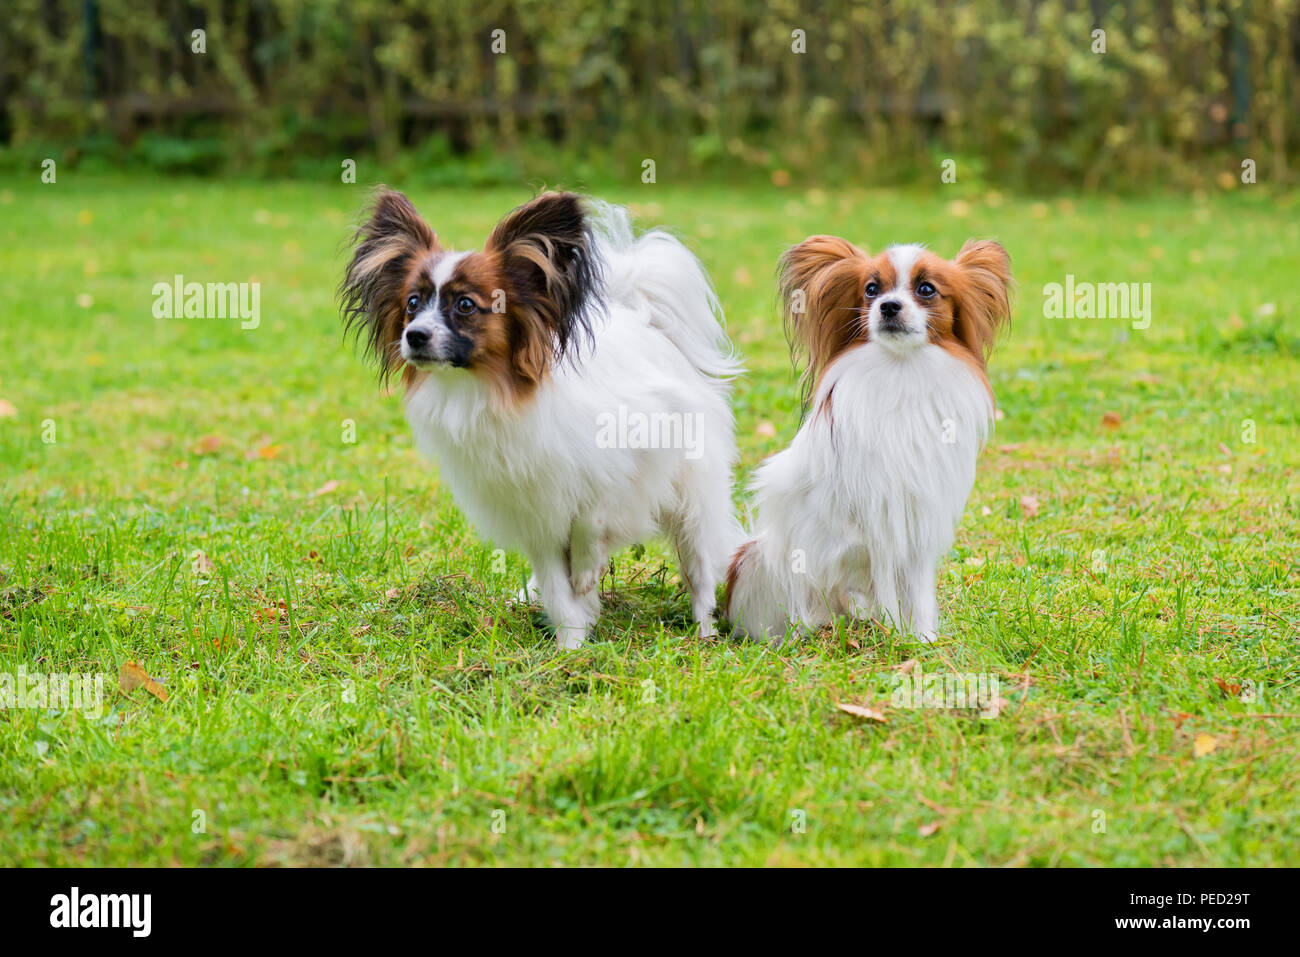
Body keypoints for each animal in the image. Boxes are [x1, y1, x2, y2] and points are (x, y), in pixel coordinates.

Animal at [340, 187, 743, 650]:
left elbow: (592, 515)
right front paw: (570, 648)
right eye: (411, 304)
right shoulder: (535, 513)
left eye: (465, 305)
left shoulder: (629, 461)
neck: (493, 392)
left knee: (700, 571)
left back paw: (704, 631)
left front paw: (585, 569)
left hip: (694, 501)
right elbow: (558, 589)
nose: (415, 336)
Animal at [728, 234, 1008, 639]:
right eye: (871, 290)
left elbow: (917, 591)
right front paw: (895, 633)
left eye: (926, 289)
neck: (901, 370)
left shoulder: (916, 523)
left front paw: (921, 638)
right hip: (759, 559)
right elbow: (884, 581)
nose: (888, 306)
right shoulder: (878, 520)